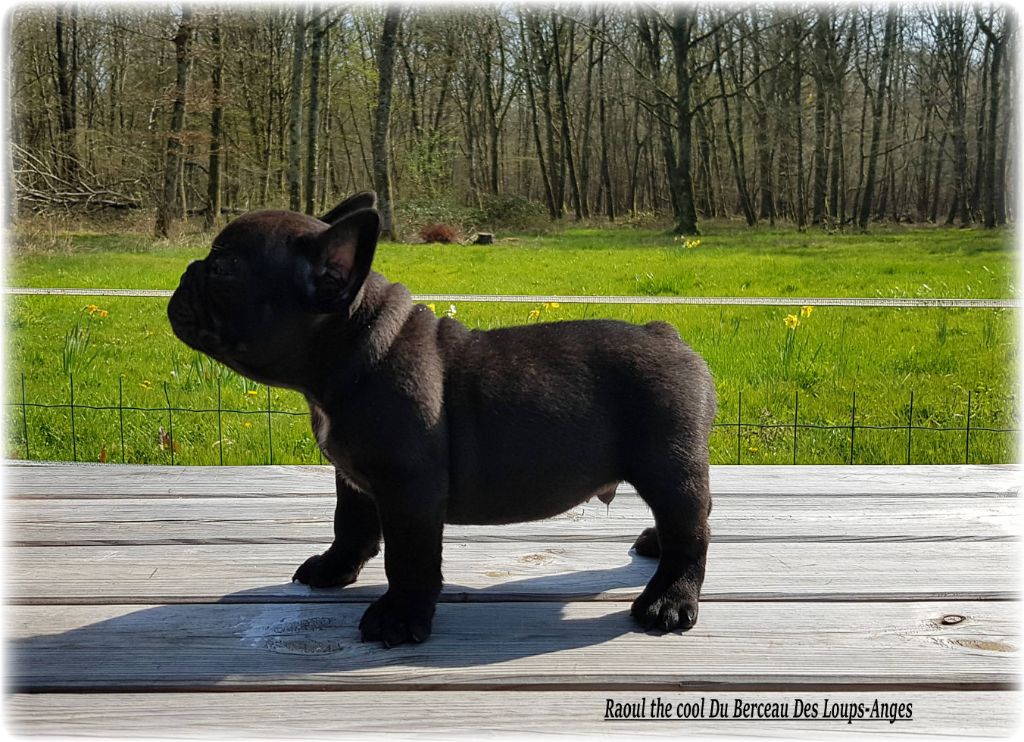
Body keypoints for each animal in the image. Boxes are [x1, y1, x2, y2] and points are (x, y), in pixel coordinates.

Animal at [168, 192, 716, 647]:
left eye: (223, 269)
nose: (188, 269)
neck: (354, 348)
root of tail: (667, 334)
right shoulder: (354, 478)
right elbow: (350, 525)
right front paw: (333, 568)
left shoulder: (408, 489)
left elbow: (408, 558)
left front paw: (398, 617)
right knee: (689, 518)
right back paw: (654, 545)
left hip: (668, 466)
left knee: (690, 531)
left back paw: (668, 600)